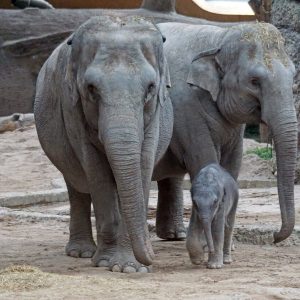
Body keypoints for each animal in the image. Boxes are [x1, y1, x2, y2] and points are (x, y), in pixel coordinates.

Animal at [33, 17, 172, 274]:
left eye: (150, 87)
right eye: (91, 88)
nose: (152, 256)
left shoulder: (155, 114)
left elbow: (143, 164)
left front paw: (131, 267)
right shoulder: (73, 109)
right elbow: (95, 170)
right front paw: (109, 263)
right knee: (75, 183)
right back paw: (82, 253)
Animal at [155, 21, 298, 246]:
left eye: (293, 75)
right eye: (254, 81)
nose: (275, 237)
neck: (220, 37)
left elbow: (233, 163)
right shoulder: (187, 109)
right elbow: (204, 158)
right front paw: (207, 245)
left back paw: (174, 236)